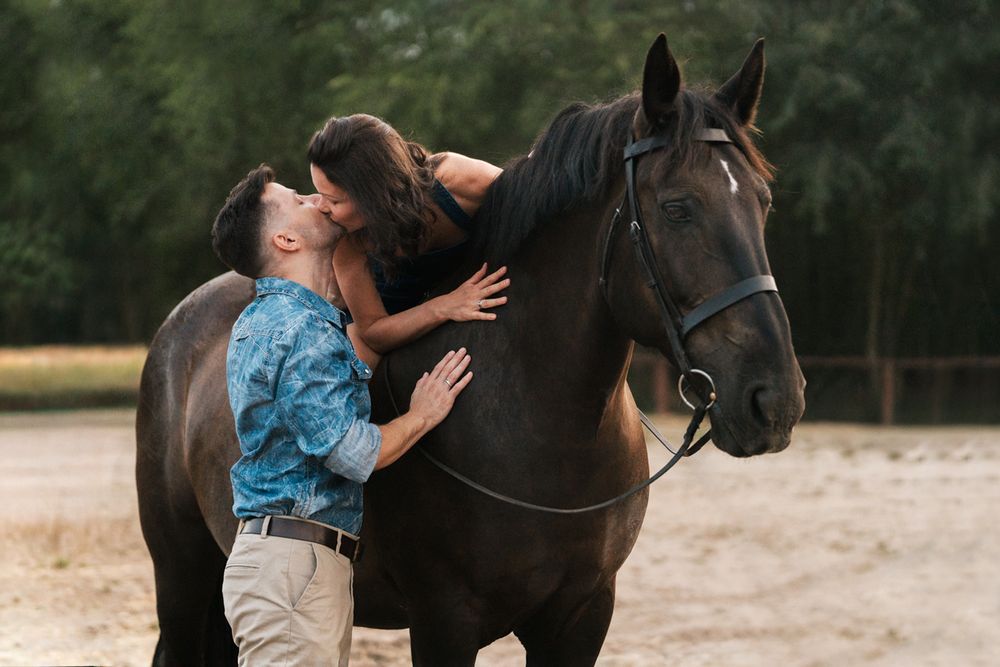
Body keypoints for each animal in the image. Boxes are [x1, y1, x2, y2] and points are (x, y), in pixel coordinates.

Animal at [136, 34, 805, 665]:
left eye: (763, 202)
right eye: (676, 208)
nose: (774, 400)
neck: (543, 431)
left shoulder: (584, 615)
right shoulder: (445, 621)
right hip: (181, 574)